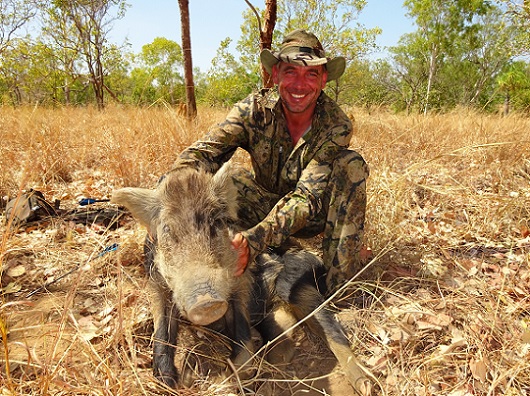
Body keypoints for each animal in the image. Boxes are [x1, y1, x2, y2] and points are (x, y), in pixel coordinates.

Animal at [112, 162, 372, 394]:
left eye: (216, 223)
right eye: (167, 229)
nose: (206, 301)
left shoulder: (242, 281)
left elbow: (244, 350)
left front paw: (222, 377)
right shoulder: (156, 284)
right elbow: (162, 336)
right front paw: (175, 381)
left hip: (303, 288)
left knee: (334, 333)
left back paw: (366, 385)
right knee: (283, 346)